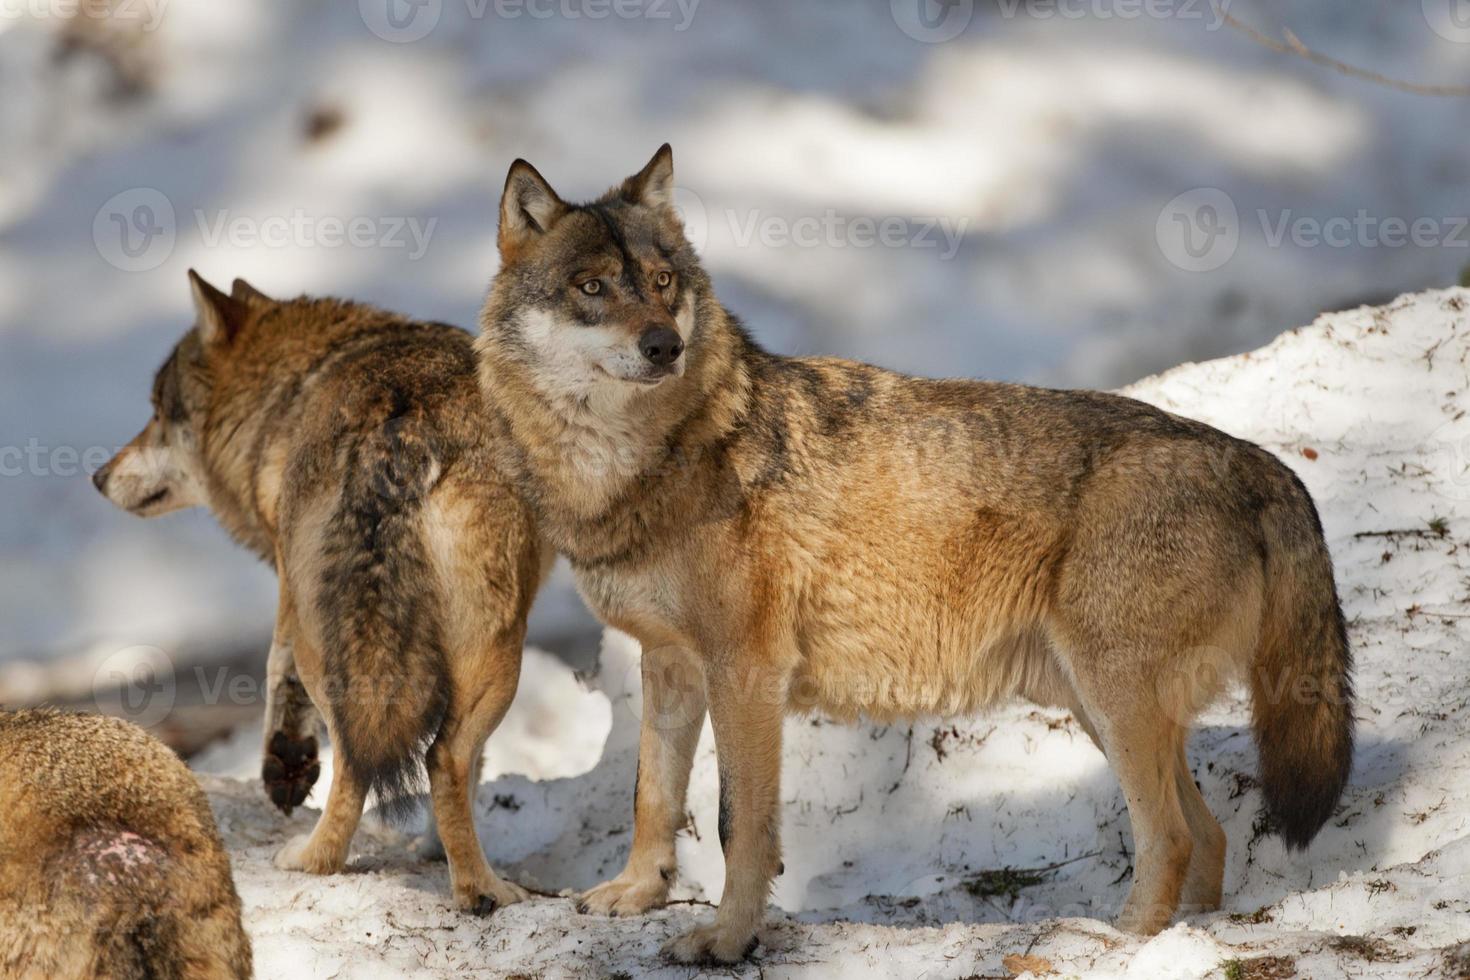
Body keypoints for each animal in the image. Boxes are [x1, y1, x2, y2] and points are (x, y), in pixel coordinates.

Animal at [93, 274, 552, 910]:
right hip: (497, 654)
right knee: (434, 758)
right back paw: (478, 889)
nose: (97, 476)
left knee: (369, 756)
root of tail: (399, 425)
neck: (289, 394)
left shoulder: (292, 597)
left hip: (367, 643)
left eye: (159, 414)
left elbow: (276, 675)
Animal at [473, 147, 1352, 963]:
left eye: (661, 282)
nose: (665, 346)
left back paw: (1107, 943)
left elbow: (736, 827)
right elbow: (651, 797)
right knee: (1209, 834)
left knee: (1170, 836)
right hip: (1098, 708)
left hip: (1113, 703)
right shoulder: (669, 665)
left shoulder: (747, 673)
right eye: (592, 288)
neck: (641, 464)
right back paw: (1182, 938)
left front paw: (726, 942)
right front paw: (634, 894)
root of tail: (1256, 460)